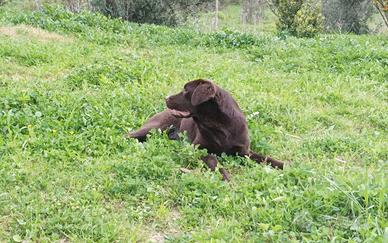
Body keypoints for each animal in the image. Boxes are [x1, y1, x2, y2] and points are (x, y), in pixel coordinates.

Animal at [129, 79, 284, 180]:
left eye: (185, 90)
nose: (166, 98)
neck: (220, 126)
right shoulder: (199, 149)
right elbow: (214, 162)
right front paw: (224, 176)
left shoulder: (244, 152)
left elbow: (267, 158)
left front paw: (286, 165)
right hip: (154, 128)